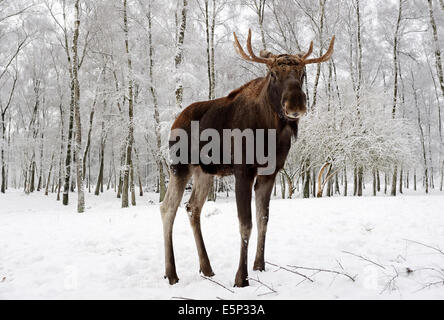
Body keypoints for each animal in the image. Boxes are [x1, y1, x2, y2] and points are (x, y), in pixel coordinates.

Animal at [161, 28, 334, 286]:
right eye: (273, 73)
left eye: (302, 73)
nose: (295, 104)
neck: (272, 132)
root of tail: (175, 122)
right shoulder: (244, 170)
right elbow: (246, 223)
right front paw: (241, 277)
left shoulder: (270, 172)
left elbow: (263, 219)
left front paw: (259, 265)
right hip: (179, 166)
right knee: (167, 208)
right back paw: (171, 274)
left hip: (204, 172)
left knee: (192, 208)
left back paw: (206, 268)